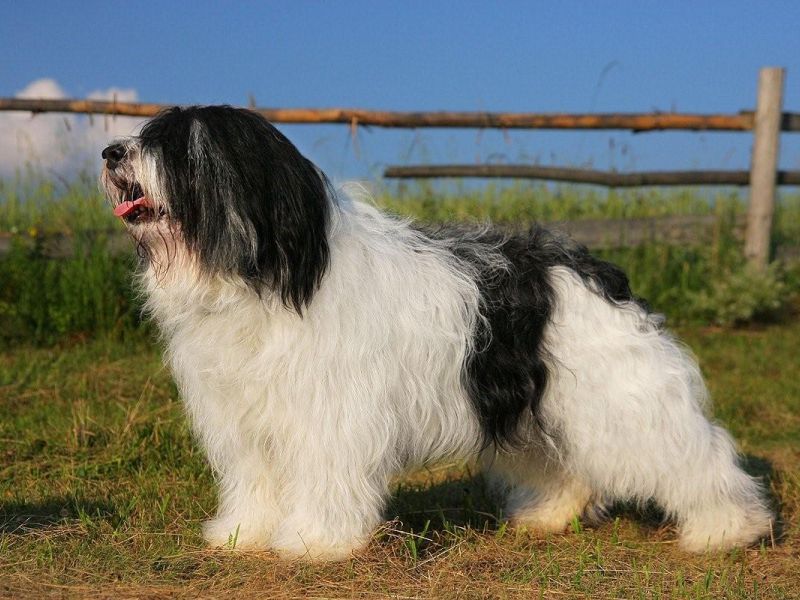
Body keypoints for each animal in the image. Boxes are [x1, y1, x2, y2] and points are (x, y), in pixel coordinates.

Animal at [100, 105, 772, 560]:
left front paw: (315, 540)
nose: (110, 152)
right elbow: (255, 480)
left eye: (177, 147)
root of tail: (590, 266)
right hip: (532, 400)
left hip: (621, 396)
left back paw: (727, 528)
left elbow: (324, 478)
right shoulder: (246, 419)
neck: (264, 276)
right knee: (560, 460)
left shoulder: (330, 415)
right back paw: (551, 515)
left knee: (694, 452)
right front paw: (243, 535)